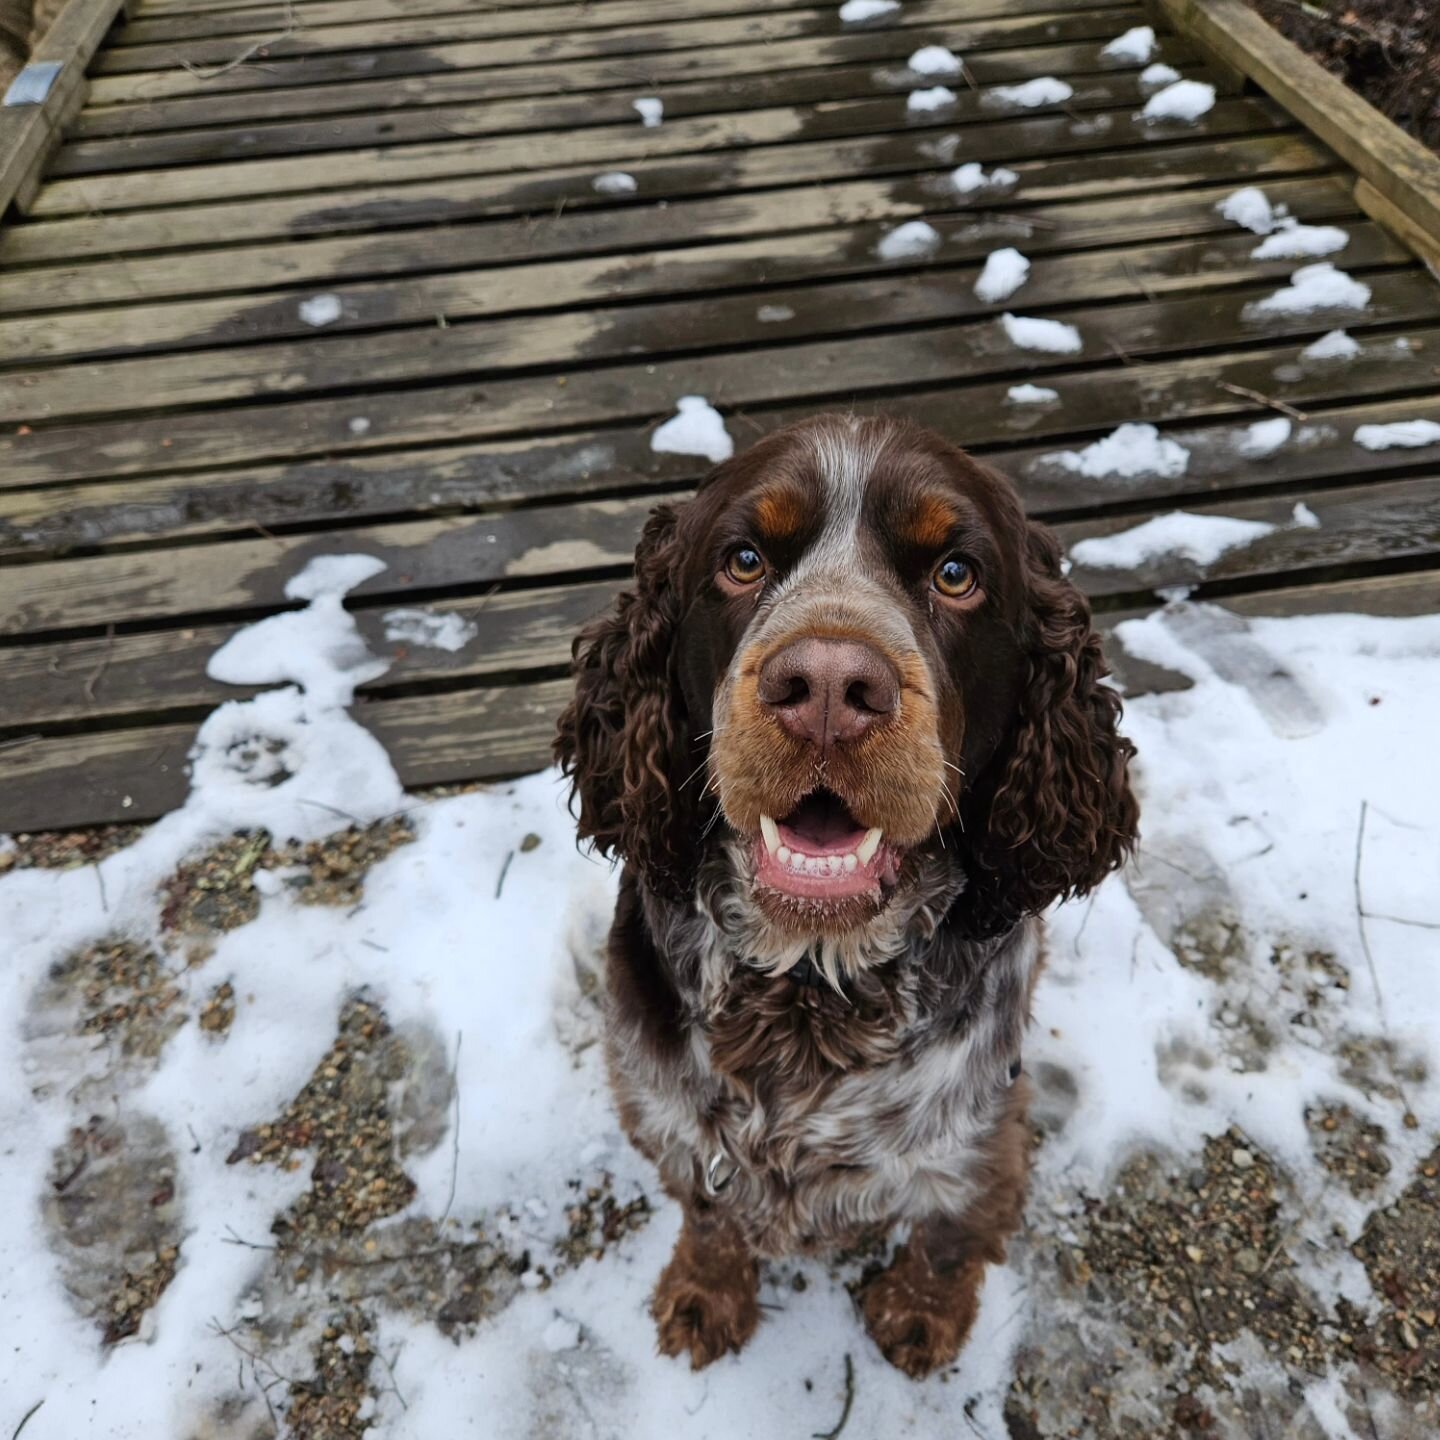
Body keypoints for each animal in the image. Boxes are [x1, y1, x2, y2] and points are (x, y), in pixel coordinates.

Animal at [555, 411, 1140, 1376]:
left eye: (957, 574)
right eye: (743, 559)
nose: (827, 686)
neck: (809, 989)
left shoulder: (980, 1129)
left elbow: (950, 1231)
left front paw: (920, 1318)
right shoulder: (670, 1114)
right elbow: (710, 1214)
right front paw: (704, 1295)